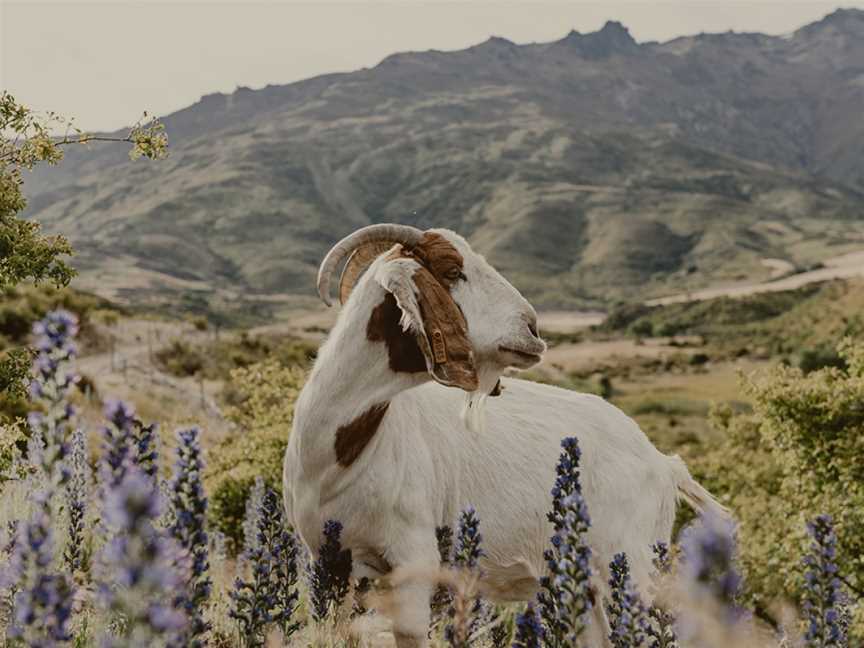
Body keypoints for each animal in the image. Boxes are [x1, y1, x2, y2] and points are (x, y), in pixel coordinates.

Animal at [282, 224, 724, 648]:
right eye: (451, 271)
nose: (532, 328)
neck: (338, 458)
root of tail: (662, 463)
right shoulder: (330, 560)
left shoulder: (413, 558)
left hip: (632, 563)